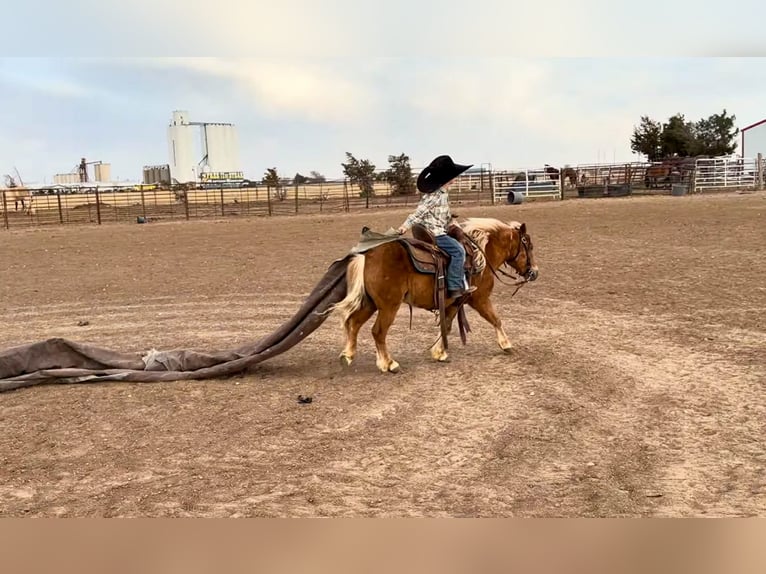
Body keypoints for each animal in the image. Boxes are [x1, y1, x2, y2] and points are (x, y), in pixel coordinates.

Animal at [329, 217, 538, 373]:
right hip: (389, 306)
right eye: (529, 246)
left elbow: (447, 324)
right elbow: (495, 319)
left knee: (354, 322)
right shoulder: (479, 299)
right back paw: (389, 364)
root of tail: (368, 255)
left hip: (371, 303)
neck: (481, 256)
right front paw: (506, 344)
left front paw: (439, 352)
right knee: (378, 331)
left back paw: (347, 355)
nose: (534, 273)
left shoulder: (454, 302)